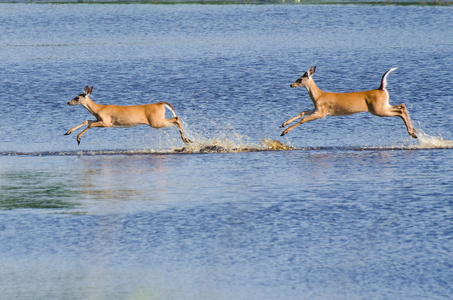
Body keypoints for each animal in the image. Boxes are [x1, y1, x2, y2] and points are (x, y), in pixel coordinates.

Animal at [278, 66, 416, 139]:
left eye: (300, 79)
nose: (291, 85)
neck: (319, 96)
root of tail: (381, 88)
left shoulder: (322, 113)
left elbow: (303, 120)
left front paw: (284, 132)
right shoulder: (317, 109)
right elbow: (302, 112)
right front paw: (283, 124)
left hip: (378, 110)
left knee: (399, 111)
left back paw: (412, 133)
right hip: (383, 106)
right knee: (402, 106)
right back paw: (414, 132)